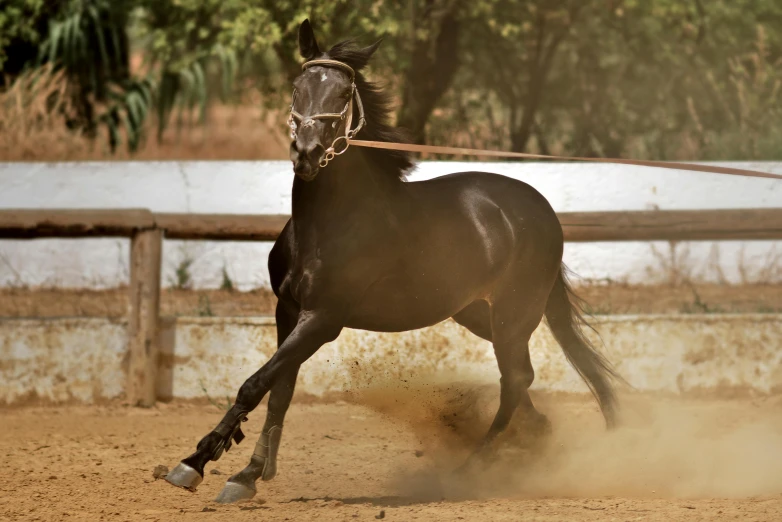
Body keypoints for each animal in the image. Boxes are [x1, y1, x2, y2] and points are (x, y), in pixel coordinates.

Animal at [167, 19, 624, 500]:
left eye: (343, 93)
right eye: (297, 88)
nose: (306, 153)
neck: (329, 224)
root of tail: (540, 209)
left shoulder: (323, 319)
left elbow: (256, 384)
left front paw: (195, 464)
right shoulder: (287, 310)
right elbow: (280, 390)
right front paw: (248, 473)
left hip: (515, 314)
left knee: (514, 380)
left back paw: (470, 470)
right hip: (478, 314)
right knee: (522, 378)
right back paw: (535, 440)